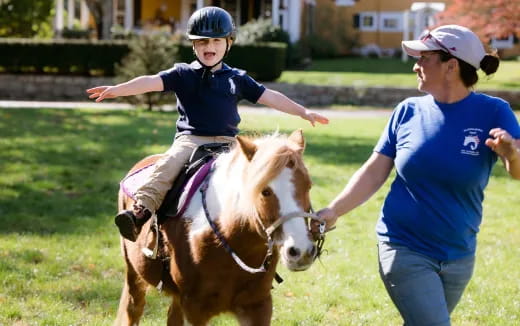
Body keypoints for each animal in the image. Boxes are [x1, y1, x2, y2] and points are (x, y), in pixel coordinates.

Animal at [115, 130, 320, 326]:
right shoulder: (193, 309)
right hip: (133, 273)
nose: (301, 251)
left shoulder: (257, 306)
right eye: (265, 191)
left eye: (308, 186)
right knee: (133, 308)